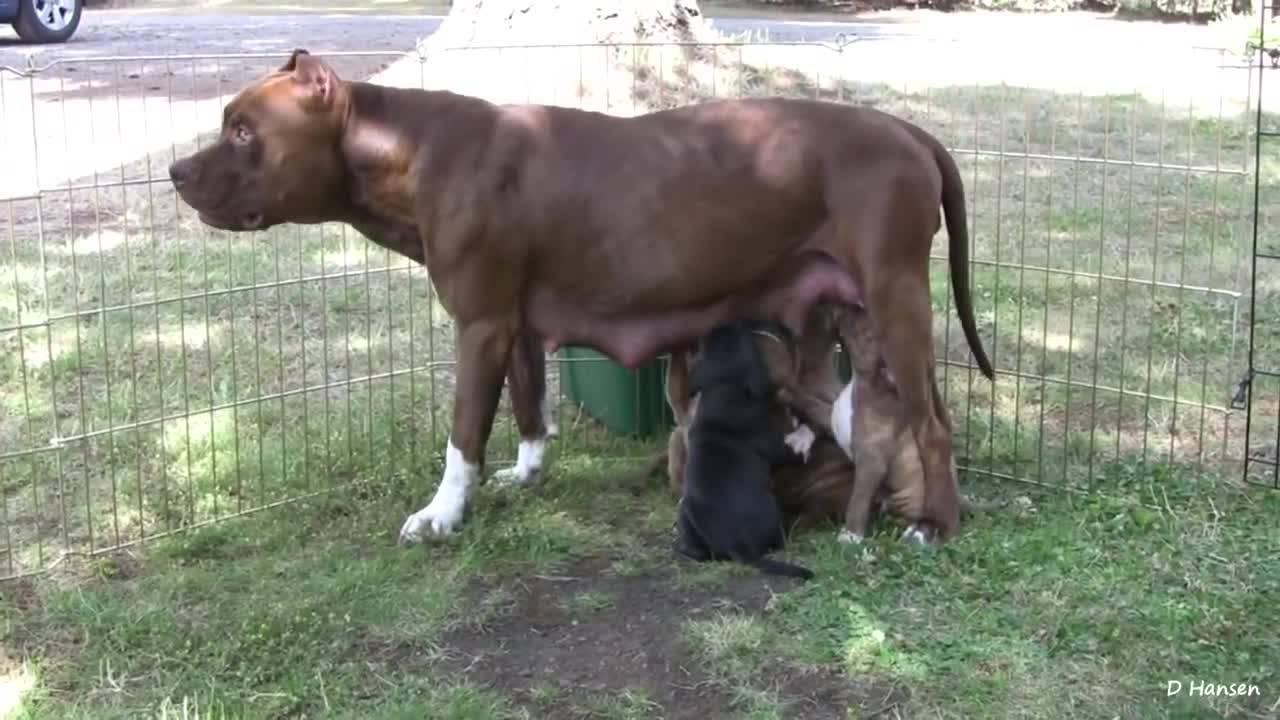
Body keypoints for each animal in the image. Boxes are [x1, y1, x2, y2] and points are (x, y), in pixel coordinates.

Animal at [167, 49, 988, 543]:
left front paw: (442, 513)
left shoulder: (479, 325)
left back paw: (936, 527)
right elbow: (530, 407)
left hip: (896, 298)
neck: (411, 149)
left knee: (933, 423)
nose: (175, 172)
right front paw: (526, 474)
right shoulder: (515, 323)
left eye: (243, 131)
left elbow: (463, 432)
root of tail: (909, 130)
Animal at [675, 319, 814, 576]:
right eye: (748, 342)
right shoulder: (779, 446)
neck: (724, 389)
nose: (730, 321)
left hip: (686, 511)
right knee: (779, 541)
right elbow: (795, 442)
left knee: (695, 551)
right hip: (773, 512)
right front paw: (804, 430)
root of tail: (738, 545)